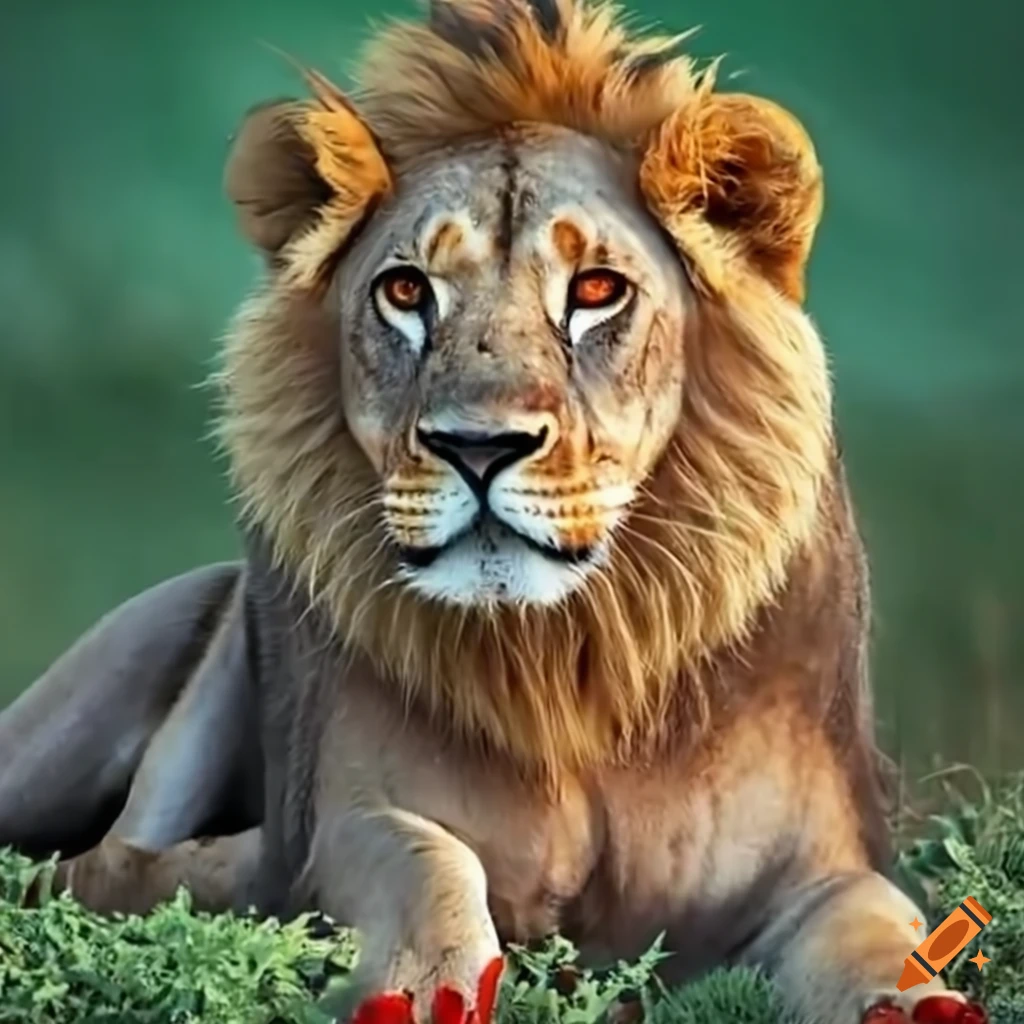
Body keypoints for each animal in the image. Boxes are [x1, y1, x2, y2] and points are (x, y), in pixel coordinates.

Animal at [0, 2, 989, 1023]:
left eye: (597, 290)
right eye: (406, 291)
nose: (479, 449)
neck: (567, 664)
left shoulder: (824, 859)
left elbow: (875, 925)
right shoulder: (341, 814)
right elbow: (422, 862)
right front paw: (422, 983)